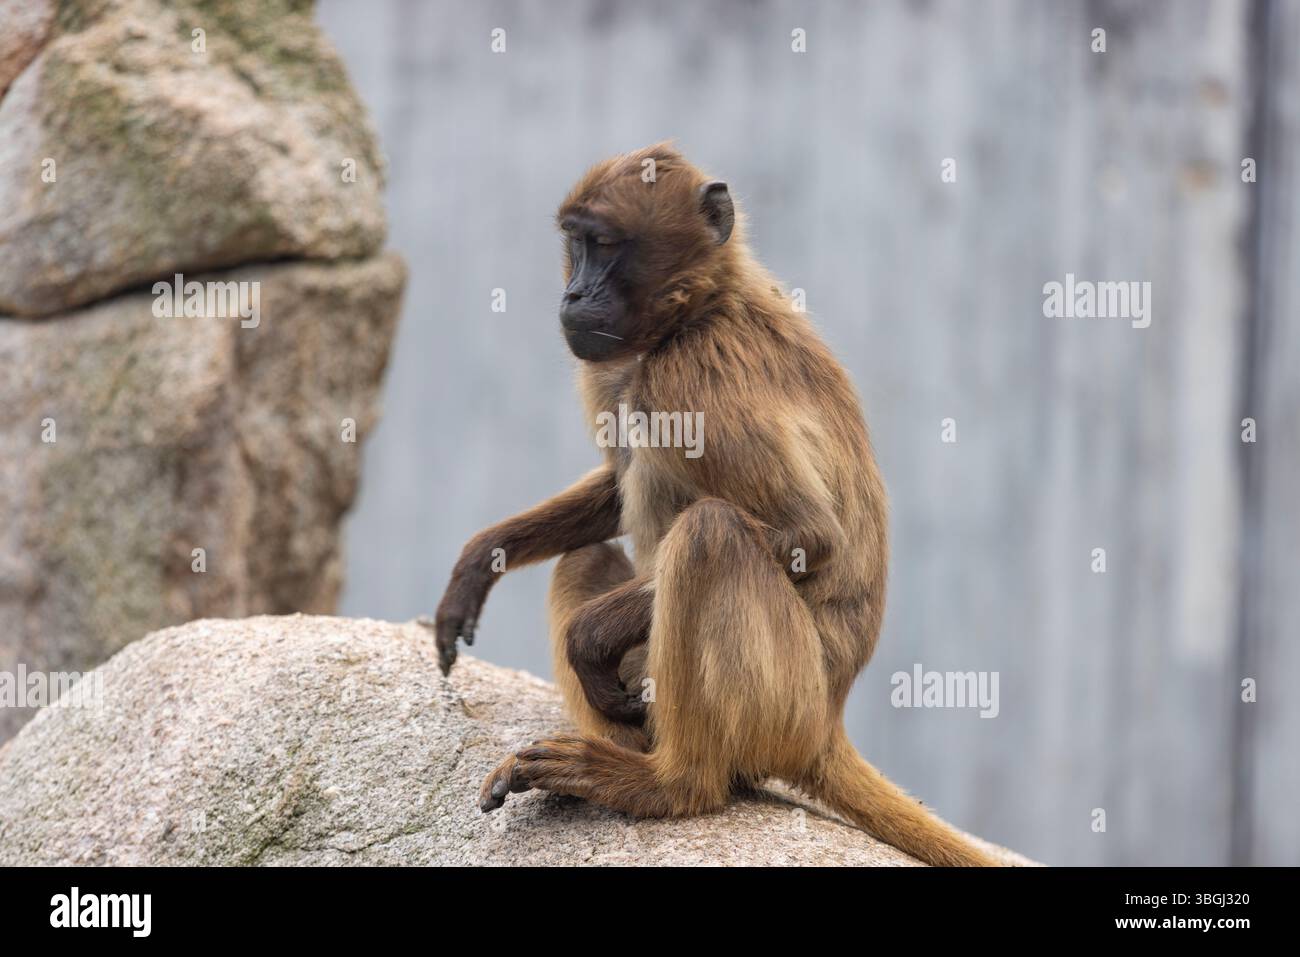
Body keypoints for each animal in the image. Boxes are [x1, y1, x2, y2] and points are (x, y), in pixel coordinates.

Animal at [432, 143, 999, 867]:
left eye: (603, 245)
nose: (573, 294)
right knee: (591, 555)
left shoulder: (690, 377)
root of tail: (828, 720)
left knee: (712, 532)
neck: (700, 307)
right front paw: (479, 563)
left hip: (783, 703)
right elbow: (615, 492)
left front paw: (585, 636)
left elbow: (808, 535)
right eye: (575, 243)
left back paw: (670, 782)